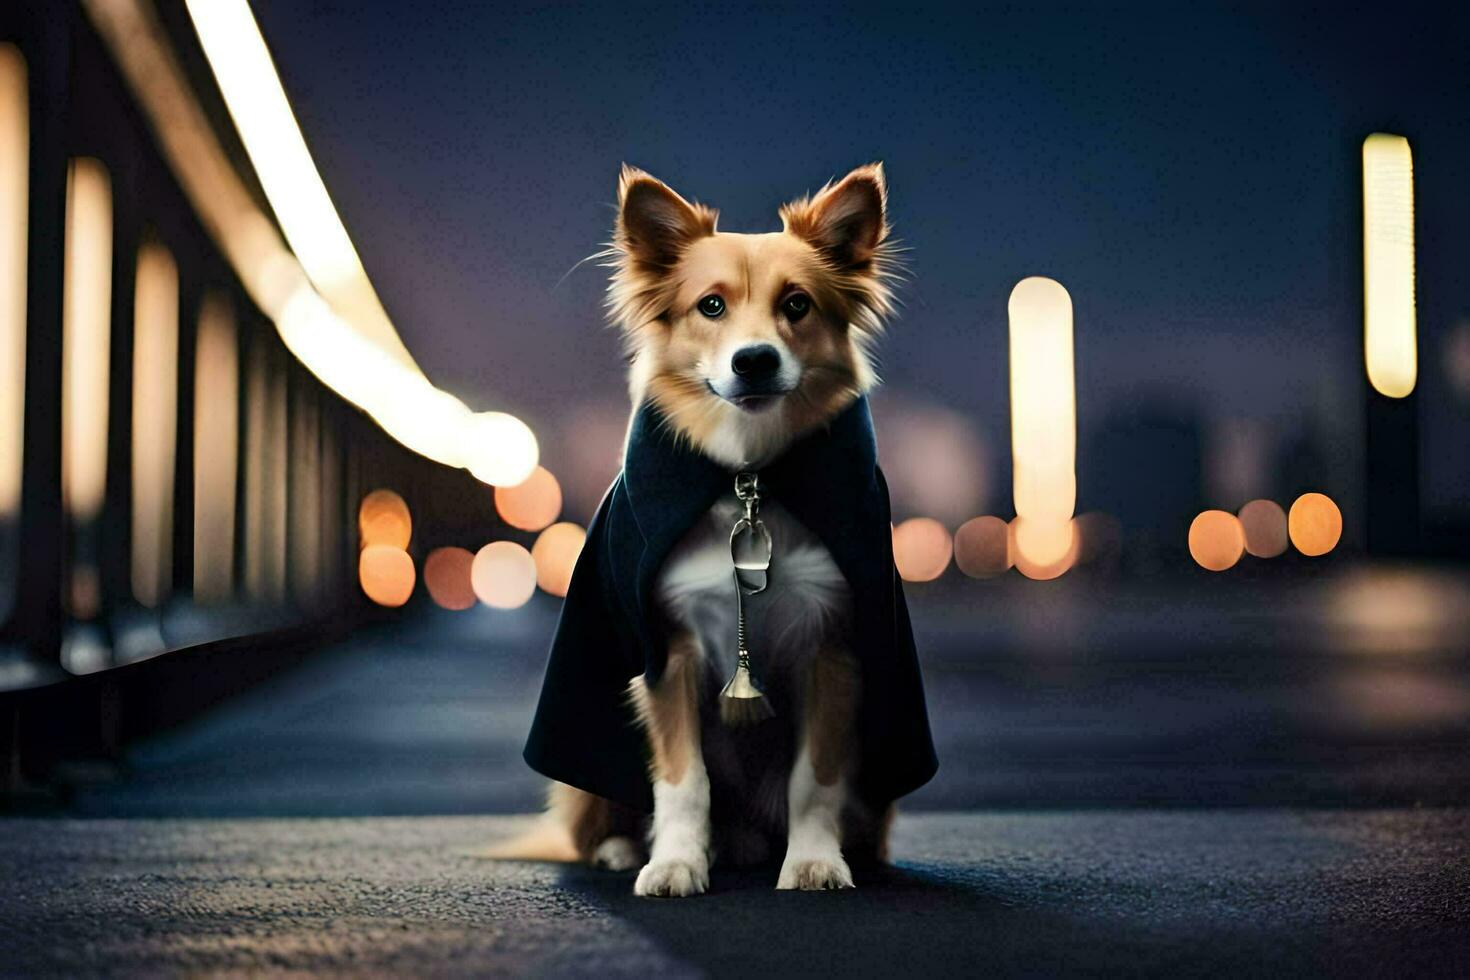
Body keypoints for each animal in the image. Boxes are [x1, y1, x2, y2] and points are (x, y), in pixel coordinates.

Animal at [493, 160, 929, 899]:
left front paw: (815, 861)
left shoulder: (831, 649)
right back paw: (622, 849)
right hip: (585, 787)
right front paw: (674, 863)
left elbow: (814, 781)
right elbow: (681, 781)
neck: (747, 476)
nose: (754, 360)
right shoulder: (667, 655)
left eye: (798, 305)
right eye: (712, 307)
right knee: (594, 824)